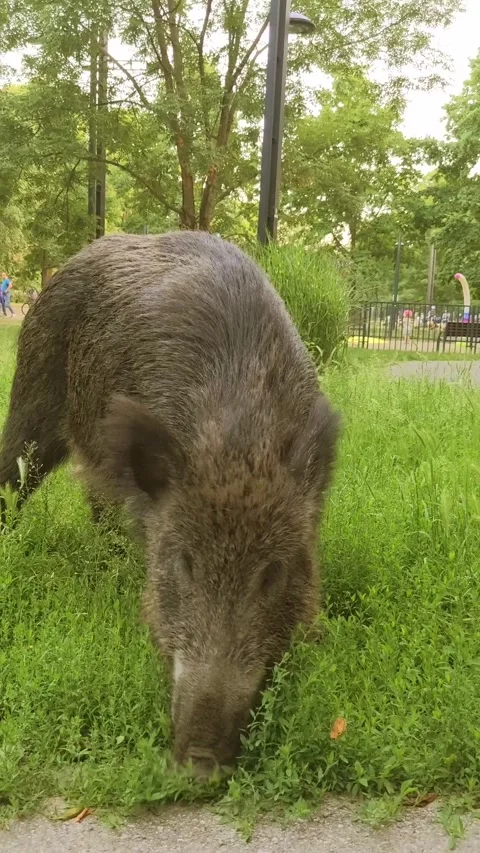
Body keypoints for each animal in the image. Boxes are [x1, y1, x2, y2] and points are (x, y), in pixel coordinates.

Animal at [0, 231, 339, 778]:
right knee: (15, 472)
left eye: (274, 573)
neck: (236, 439)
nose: (200, 759)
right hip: (33, 392)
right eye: (184, 564)